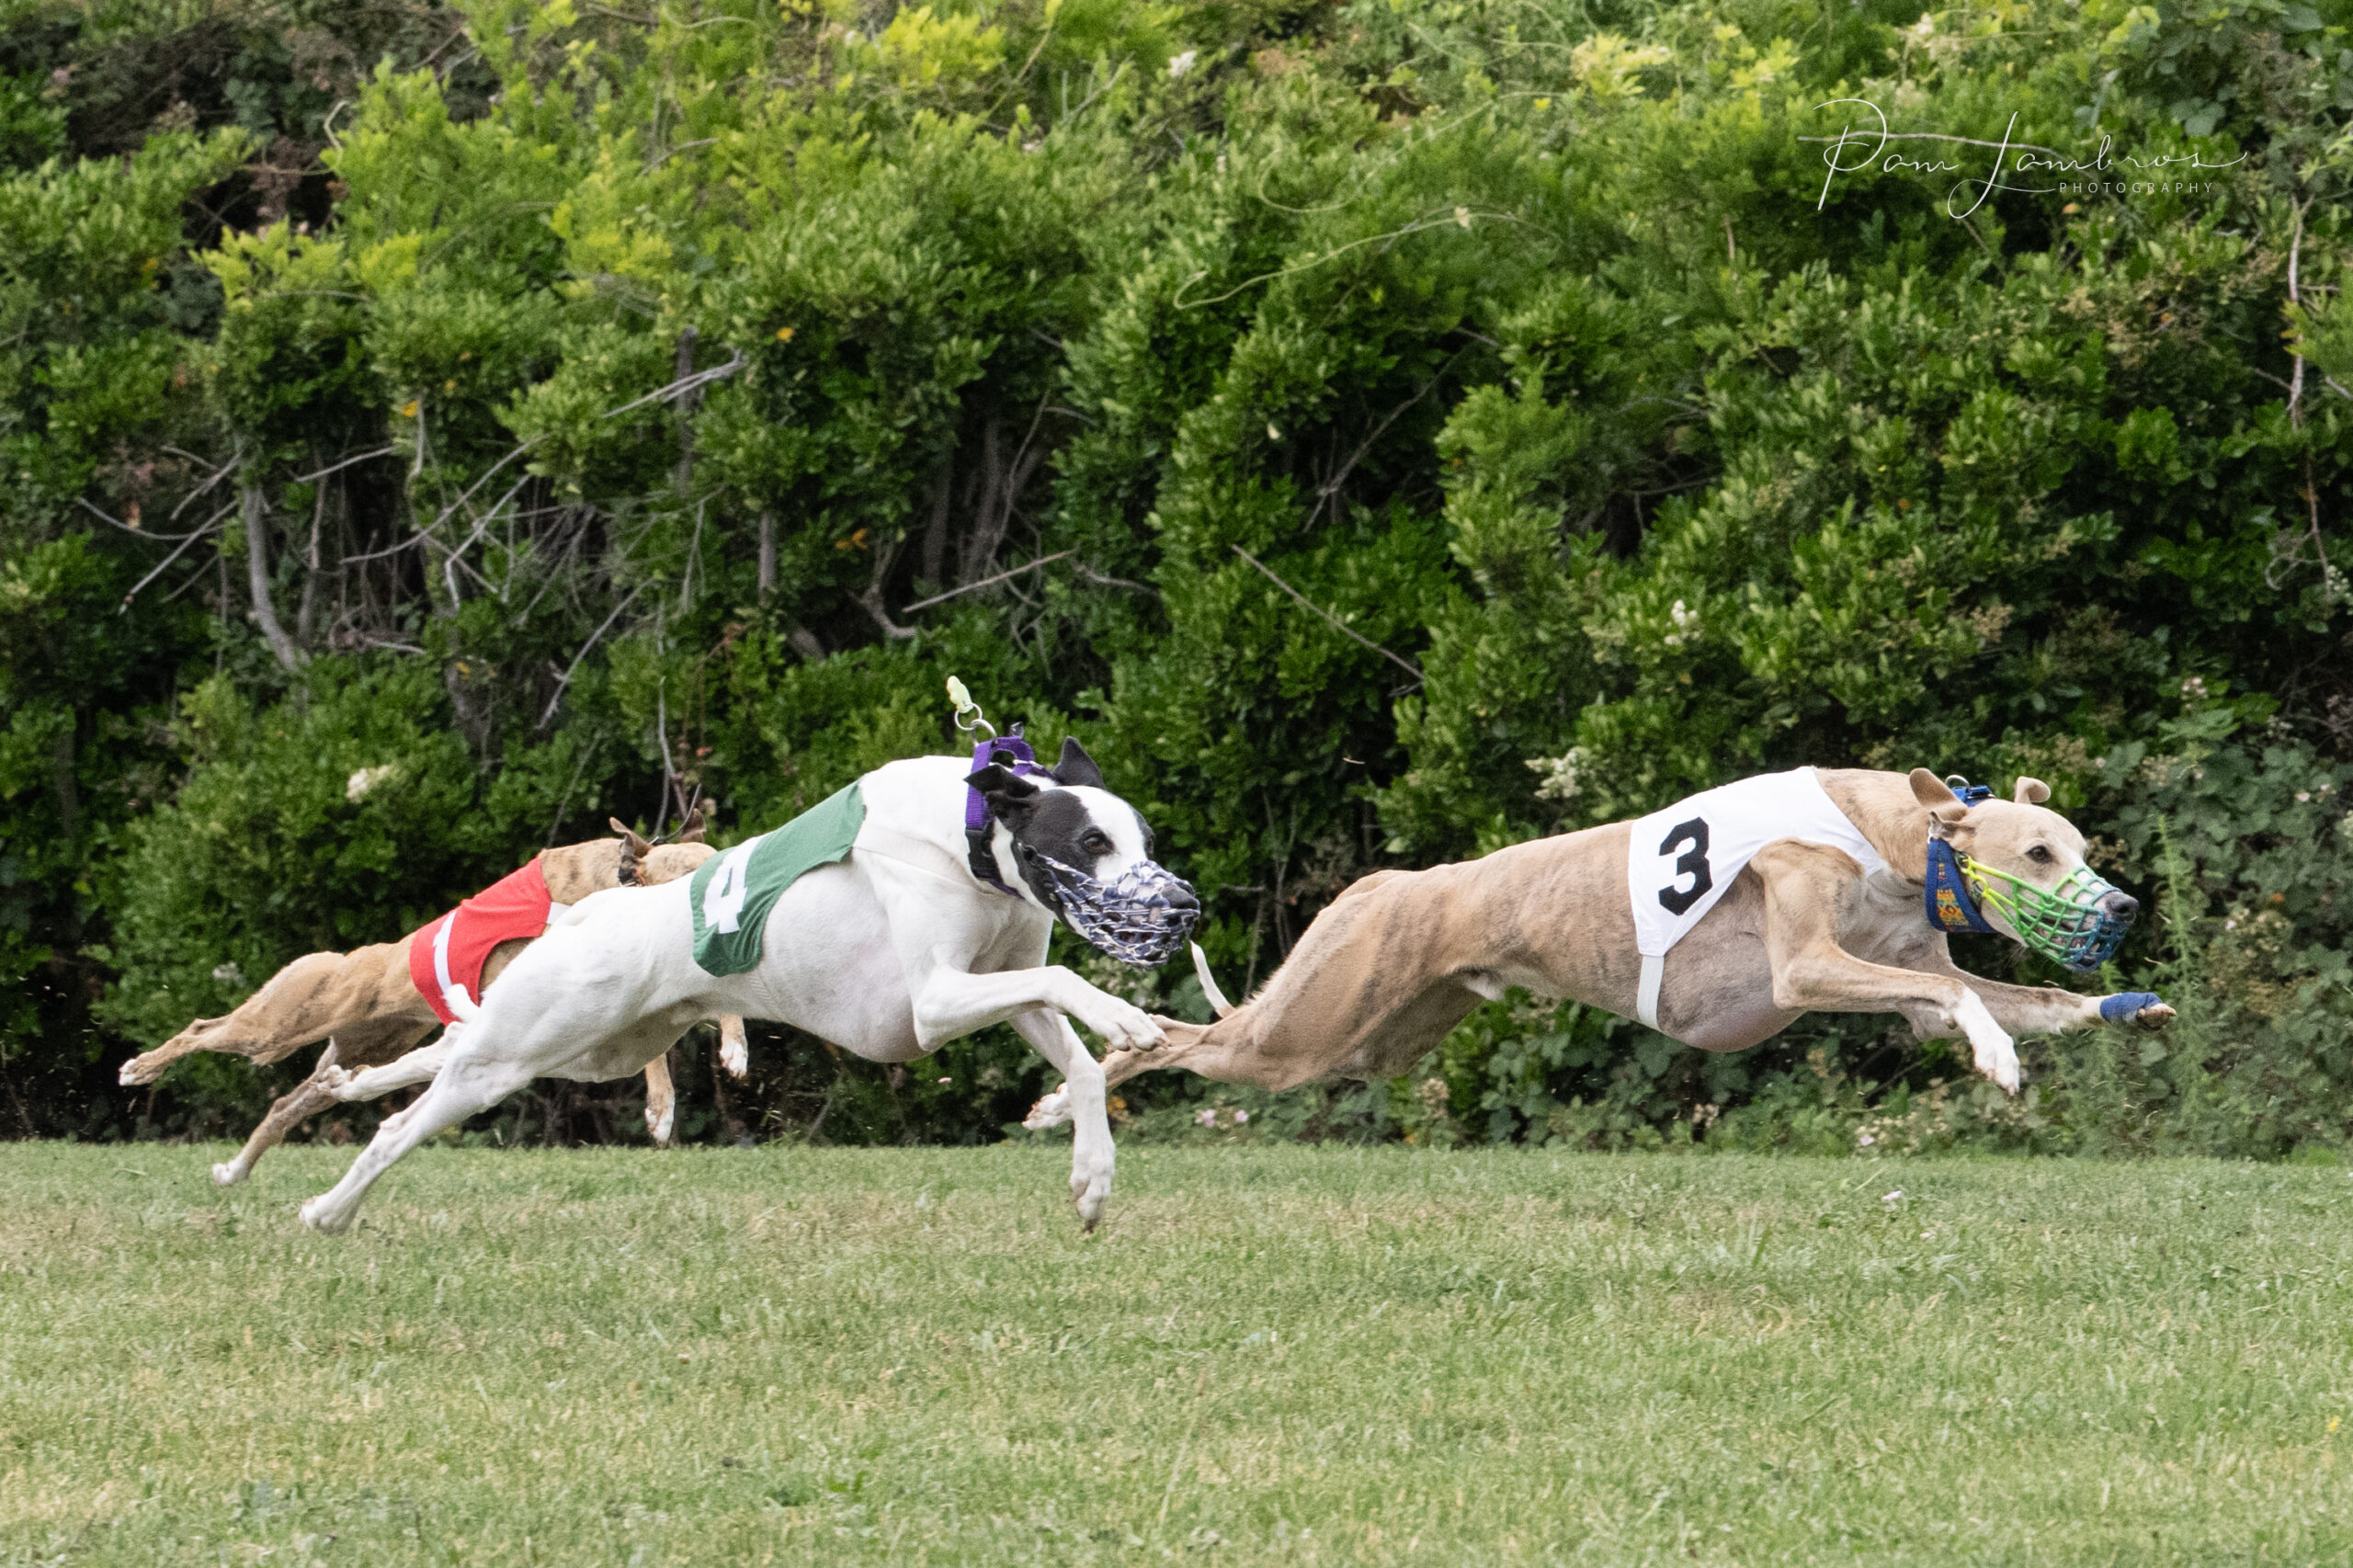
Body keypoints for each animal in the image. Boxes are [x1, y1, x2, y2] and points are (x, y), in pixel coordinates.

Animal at [119, 810, 748, 1176]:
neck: (615, 882)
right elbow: (658, 1053)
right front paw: (662, 1110)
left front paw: (733, 1050)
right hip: (284, 1021)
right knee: (205, 1030)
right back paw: (141, 1068)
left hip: (361, 1049)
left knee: (286, 1104)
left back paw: (236, 1169)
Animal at [1040, 762, 2174, 1116]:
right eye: (2038, 852)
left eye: (2077, 847)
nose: (2121, 908)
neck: (1892, 839)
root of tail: (1390, 882)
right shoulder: (1807, 963)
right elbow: (1962, 996)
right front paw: (1998, 1055)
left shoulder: (1896, 969)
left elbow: (2022, 998)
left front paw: (2127, 1005)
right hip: (1304, 1030)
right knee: (1176, 1038)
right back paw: (1066, 1097)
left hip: (1378, 1039)